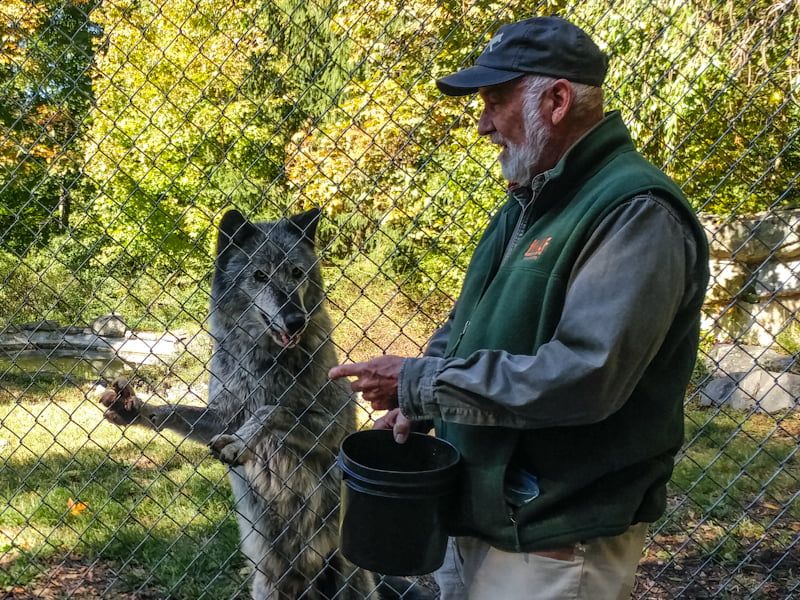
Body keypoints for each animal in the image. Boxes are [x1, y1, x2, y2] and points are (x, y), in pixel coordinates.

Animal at [100, 207, 376, 600]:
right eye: (260, 275)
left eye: (296, 272)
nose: (296, 319)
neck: (264, 360)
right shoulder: (222, 416)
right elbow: (173, 411)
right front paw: (133, 408)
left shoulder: (338, 428)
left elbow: (272, 409)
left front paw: (242, 442)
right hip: (267, 583)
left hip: (350, 578)